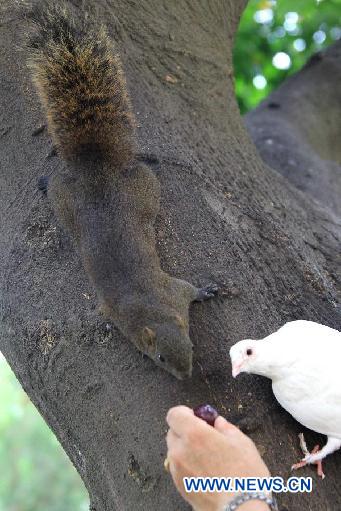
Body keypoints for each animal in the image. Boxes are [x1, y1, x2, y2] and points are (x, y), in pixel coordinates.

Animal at [26, 3, 218, 380]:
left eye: (190, 347)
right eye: (159, 357)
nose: (185, 376)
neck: (152, 308)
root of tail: (97, 168)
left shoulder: (173, 291)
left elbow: (189, 289)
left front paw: (206, 290)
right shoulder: (119, 312)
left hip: (141, 190)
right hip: (82, 198)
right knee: (56, 185)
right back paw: (43, 182)